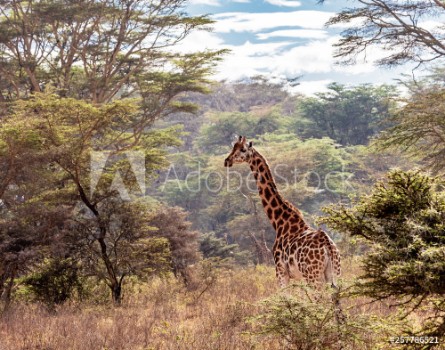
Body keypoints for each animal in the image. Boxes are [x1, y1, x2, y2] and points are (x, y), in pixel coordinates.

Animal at [225, 135, 340, 288]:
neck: (279, 221)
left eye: (242, 149)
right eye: (233, 147)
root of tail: (328, 245)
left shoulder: (280, 272)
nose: (227, 161)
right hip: (335, 274)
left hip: (313, 275)